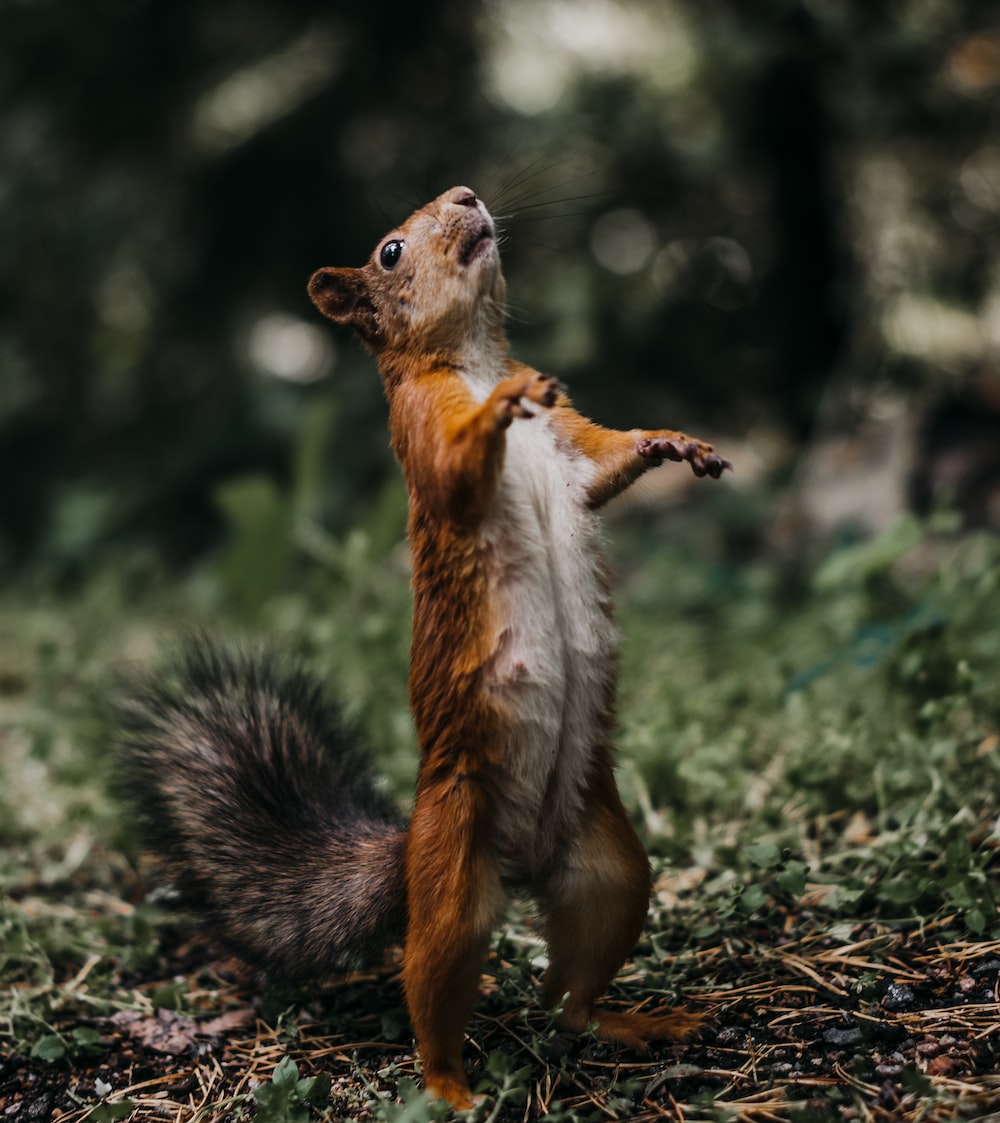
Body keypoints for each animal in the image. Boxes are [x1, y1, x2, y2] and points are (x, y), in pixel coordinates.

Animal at [118, 186, 731, 1110]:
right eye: (391, 251)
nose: (467, 196)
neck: (471, 356)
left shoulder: (573, 445)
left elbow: (606, 462)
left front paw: (673, 442)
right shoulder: (420, 428)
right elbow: (453, 469)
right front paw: (505, 401)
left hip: (611, 871)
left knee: (569, 996)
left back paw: (630, 1021)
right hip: (451, 879)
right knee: (433, 983)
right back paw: (450, 1087)